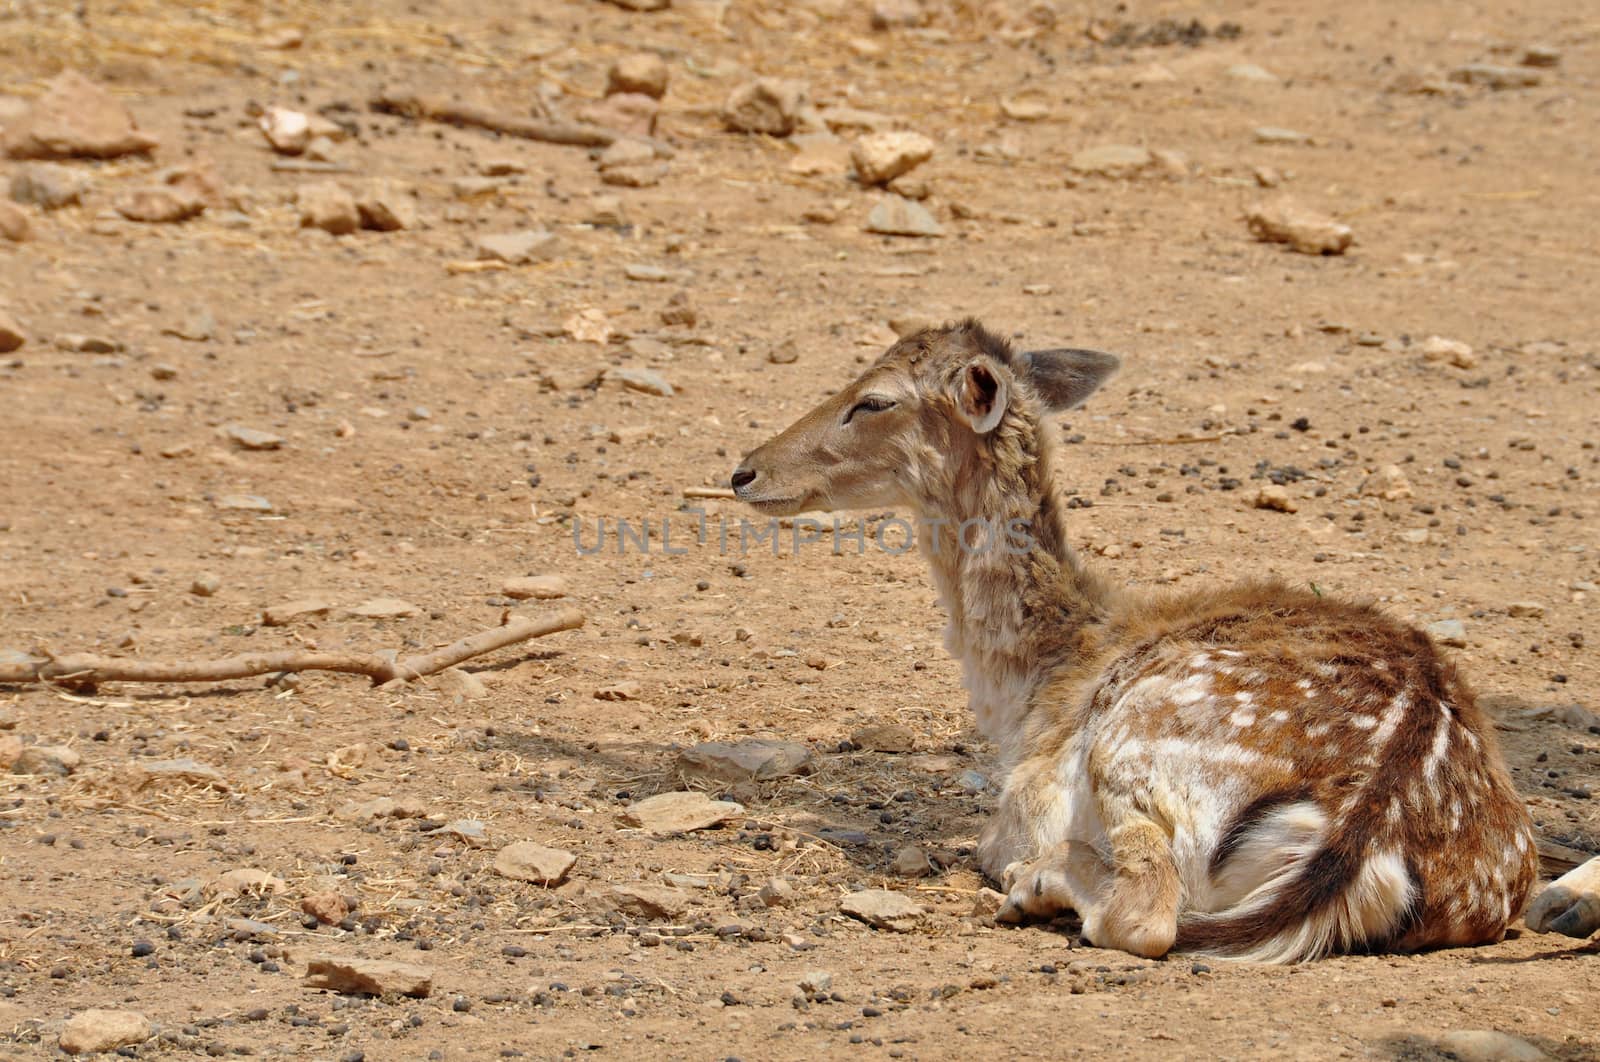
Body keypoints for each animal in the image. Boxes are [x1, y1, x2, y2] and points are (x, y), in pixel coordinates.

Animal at [736, 316, 1548, 959]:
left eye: (874, 400)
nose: (745, 470)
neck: (1030, 689)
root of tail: (1371, 825)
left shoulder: (1017, 804)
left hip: (1133, 746)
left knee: (1147, 915)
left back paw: (1039, 885)